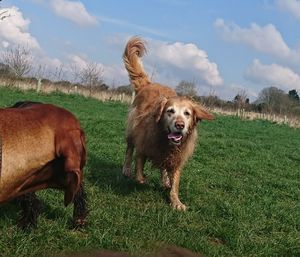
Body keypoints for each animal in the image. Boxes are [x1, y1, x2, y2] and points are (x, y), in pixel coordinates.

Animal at [122, 37, 213, 210]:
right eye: (170, 111)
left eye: (187, 113)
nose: (180, 125)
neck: (166, 142)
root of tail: (148, 83)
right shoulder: (143, 145)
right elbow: (139, 169)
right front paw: (142, 179)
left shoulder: (177, 159)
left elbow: (175, 183)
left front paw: (176, 201)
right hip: (131, 130)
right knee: (129, 150)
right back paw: (126, 169)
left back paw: (164, 180)